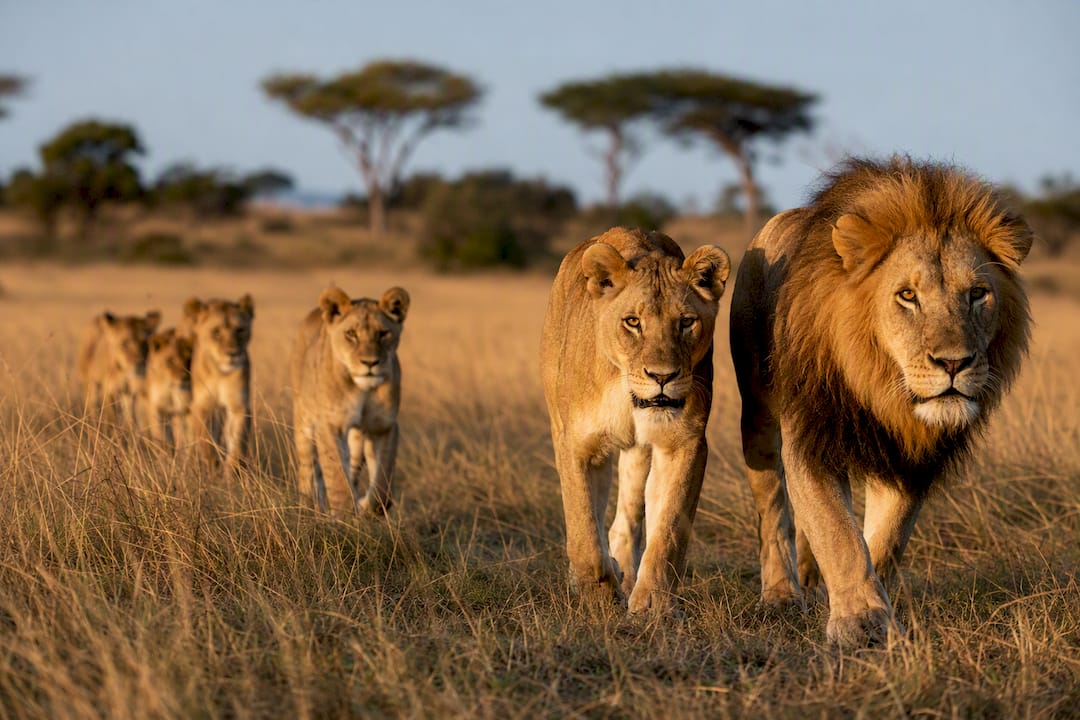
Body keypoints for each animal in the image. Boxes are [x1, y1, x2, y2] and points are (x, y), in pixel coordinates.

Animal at [183, 294, 255, 477]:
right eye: (216, 332)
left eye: (240, 330)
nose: (233, 354)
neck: (220, 373)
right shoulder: (202, 406)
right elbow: (206, 441)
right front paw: (211, 468)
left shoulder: (239, 406)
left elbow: (237, 441)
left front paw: (232, 471)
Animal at [291, 285, 410, 516]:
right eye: (351, 334)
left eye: (383, 333)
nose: (370, 363)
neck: (363, 389)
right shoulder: (329, 425)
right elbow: (336, 476)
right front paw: (343, 515)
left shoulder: (384, 427)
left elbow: (382, 486)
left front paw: (364, 506)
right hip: (304, 421)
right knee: (307, 469)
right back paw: (306, 508)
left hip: (356, 440)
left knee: (351, 466)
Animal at [540, 227, 731, 613]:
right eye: (633, 322)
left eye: (686, 322)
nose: (662, 376)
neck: (626, 393)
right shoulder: (576, 444)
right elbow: (583, 530)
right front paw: (598, 596)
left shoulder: (683, 442)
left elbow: (668, 528)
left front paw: (652, 604)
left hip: (639, 453)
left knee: (627, 520)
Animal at [729, 156, 1032, 646]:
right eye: (907, 295)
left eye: (977, 293)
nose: (954, 363)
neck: (875, 386)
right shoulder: (810, 438)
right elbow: (838, 532)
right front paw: (861, 623)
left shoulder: (908, 455)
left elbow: (883, 539)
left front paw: (866, 607)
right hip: (757, 412)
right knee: (772, 507)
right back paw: (781, 596)